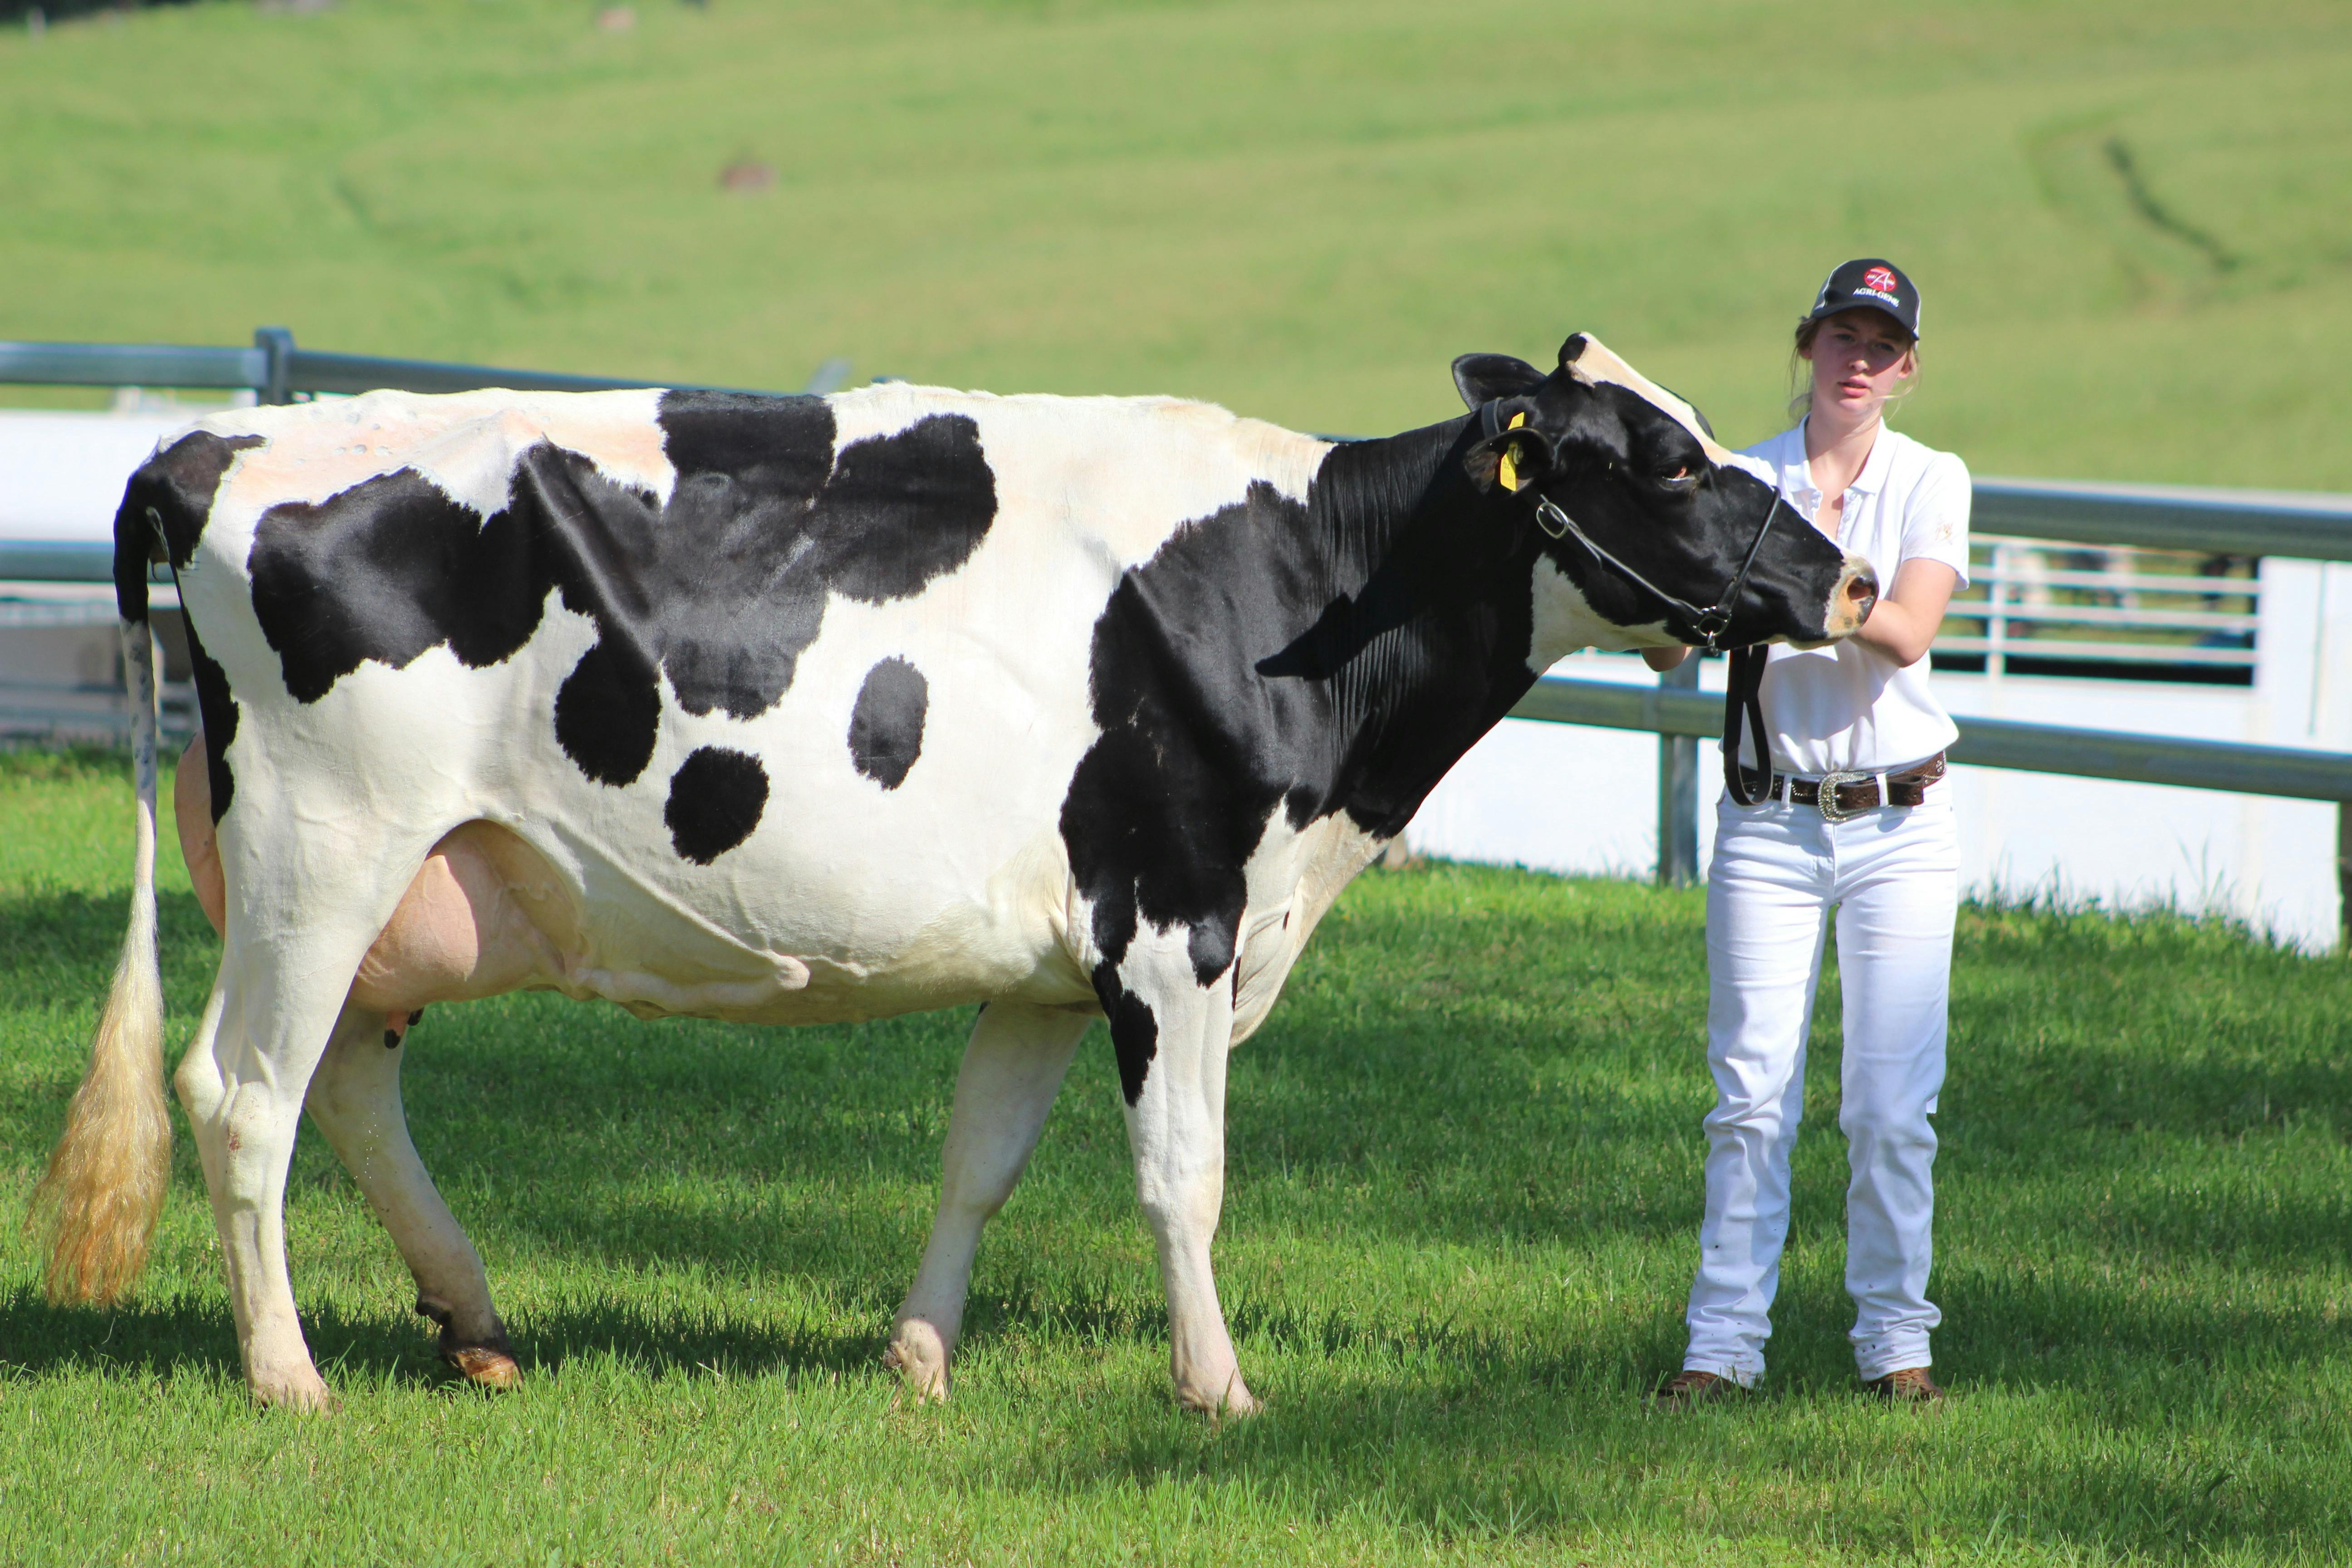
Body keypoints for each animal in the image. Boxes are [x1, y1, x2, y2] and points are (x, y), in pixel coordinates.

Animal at [34, 334, 1874, 1413]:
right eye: (1662, 459)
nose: (1851, 580)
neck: (1302, 589)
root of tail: (221, 445)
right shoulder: (1177, 925)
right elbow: (1183, 1177)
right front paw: (1217, 1388)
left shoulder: (1060, 959)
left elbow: (978, 1161)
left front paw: (918, 1356)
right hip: (322, 847)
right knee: (242, 1094)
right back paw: (289, 1377)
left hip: (403, 882)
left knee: (344, 1084)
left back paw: (475, 1322)